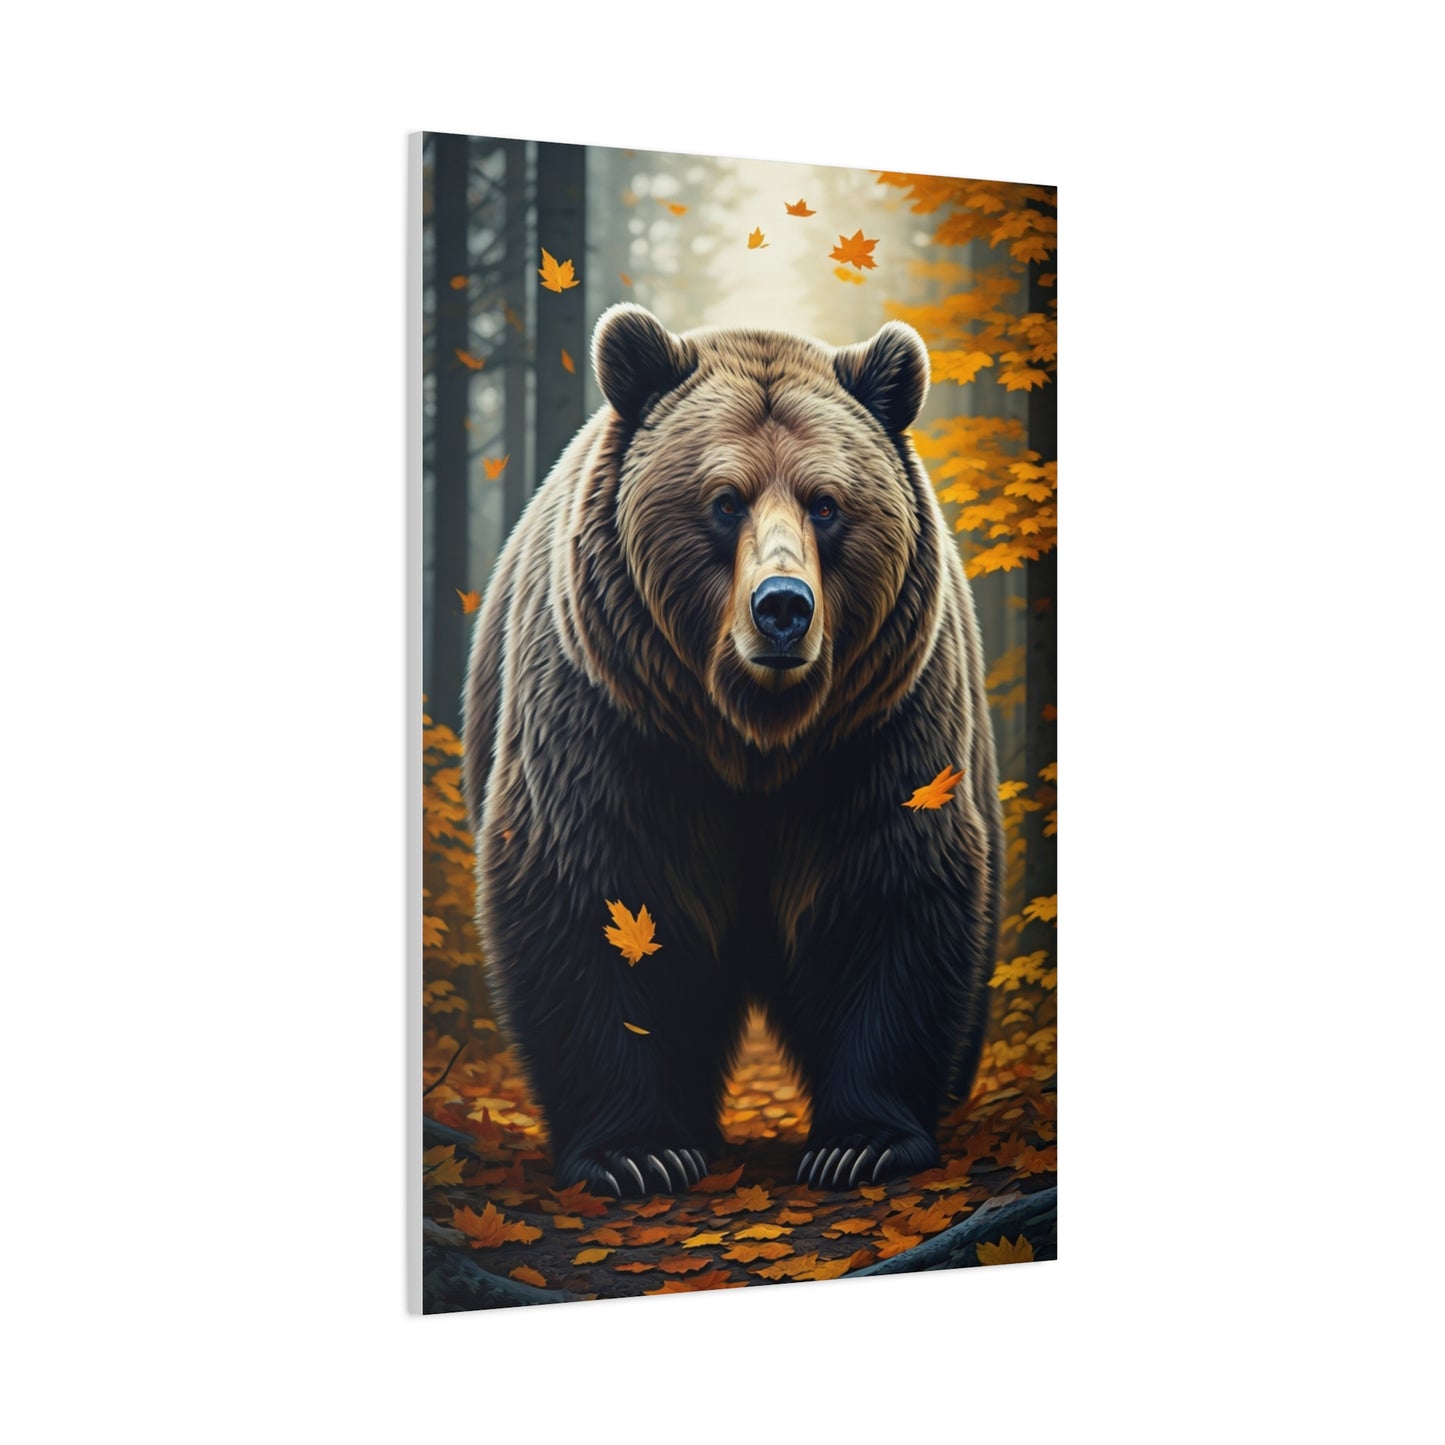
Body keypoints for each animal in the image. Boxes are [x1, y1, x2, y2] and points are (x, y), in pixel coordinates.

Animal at [462, 303, 1002, 1198]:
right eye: (724, 499)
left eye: (826, 502)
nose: (782, 607)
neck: (751, 737)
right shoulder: (610, 719)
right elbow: (592, 895)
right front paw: (636, 1151)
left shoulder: (879, 727)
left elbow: (887, 891)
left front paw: (863, 1141)